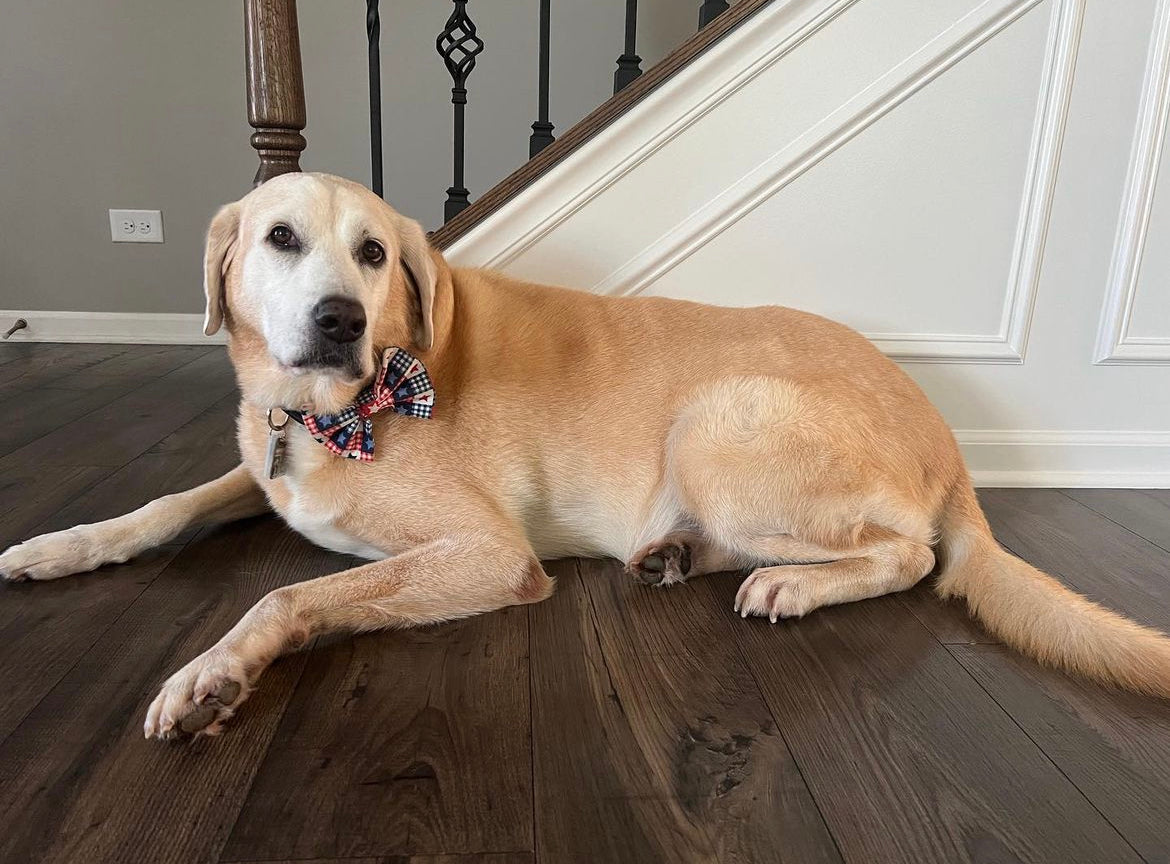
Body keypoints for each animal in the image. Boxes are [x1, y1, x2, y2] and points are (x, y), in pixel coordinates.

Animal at [2, 172, 1170, 735]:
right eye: (281, 238)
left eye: (374, 253)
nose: (339, 320)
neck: (338, 407)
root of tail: (949, 441)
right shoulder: (263, 473)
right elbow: (163, 508)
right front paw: (60, 545)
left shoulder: (486, 555)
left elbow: (287, 596)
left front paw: (212, 677)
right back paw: (676, 557)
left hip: (715, 421)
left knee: (911, 555)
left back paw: (790, 585)